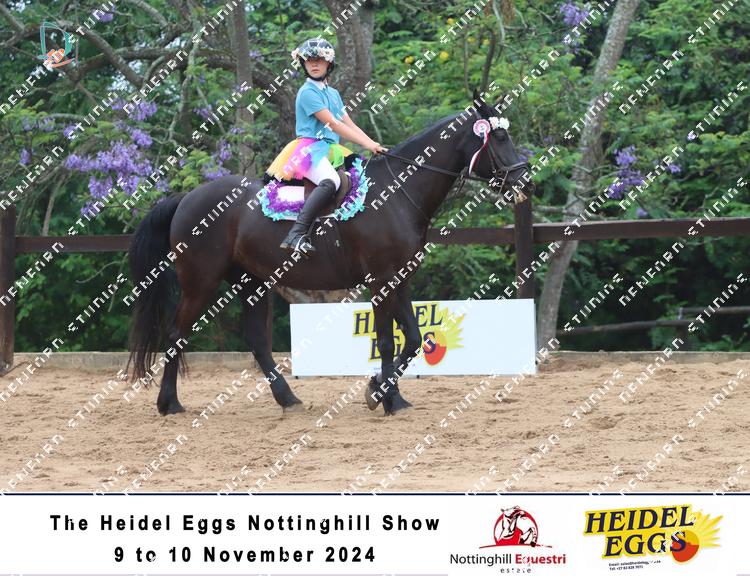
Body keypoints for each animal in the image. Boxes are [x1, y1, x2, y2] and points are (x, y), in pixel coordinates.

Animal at [126, 90, 532, 416]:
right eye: (498, 136)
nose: (525, 181)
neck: (398, 193)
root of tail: (186, 198)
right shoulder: (381, 280)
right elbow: (386, 340)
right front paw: (386, 399)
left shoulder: (400, 278)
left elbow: (414, 339)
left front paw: (383, 392)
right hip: (201, 282)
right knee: (176, 333)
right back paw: (169, 403)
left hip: (251, 281)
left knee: (256, 341)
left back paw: (288, 399)